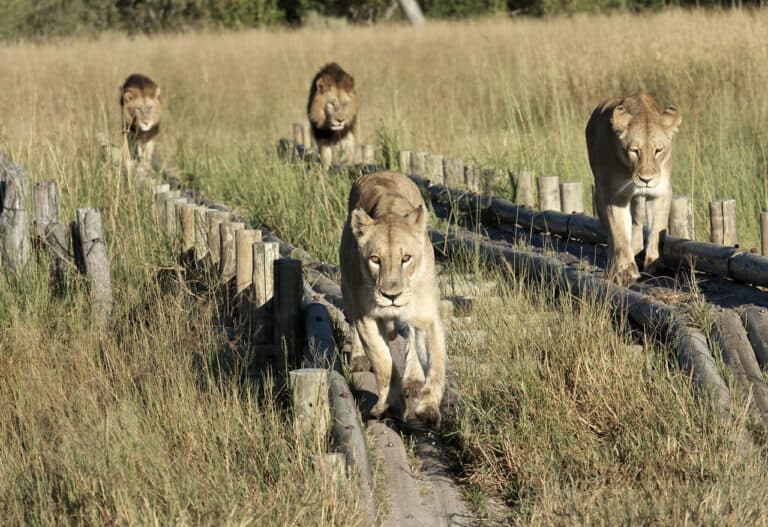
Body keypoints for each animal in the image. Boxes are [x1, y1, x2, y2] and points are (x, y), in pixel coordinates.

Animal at [339, 171, 446, 427]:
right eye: (375, 259)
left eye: (406, 258)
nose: (391, 296)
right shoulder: (366, 317)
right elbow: (384, 364)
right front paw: (388, 406)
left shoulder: (429, 317)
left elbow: (436, 367)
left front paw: (429, 408)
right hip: (347, 289)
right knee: (352, 322)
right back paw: (359, 358)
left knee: (412, 336)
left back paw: (414, 379)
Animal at [586, 92, 681, 286]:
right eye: (634, 151)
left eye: (658, 150)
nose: (646, 179)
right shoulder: (613, 195)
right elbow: (619, 233)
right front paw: (625, 272)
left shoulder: (659, 193)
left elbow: (657, 231)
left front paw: (655, 266)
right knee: (611, 234)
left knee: (637, 222)